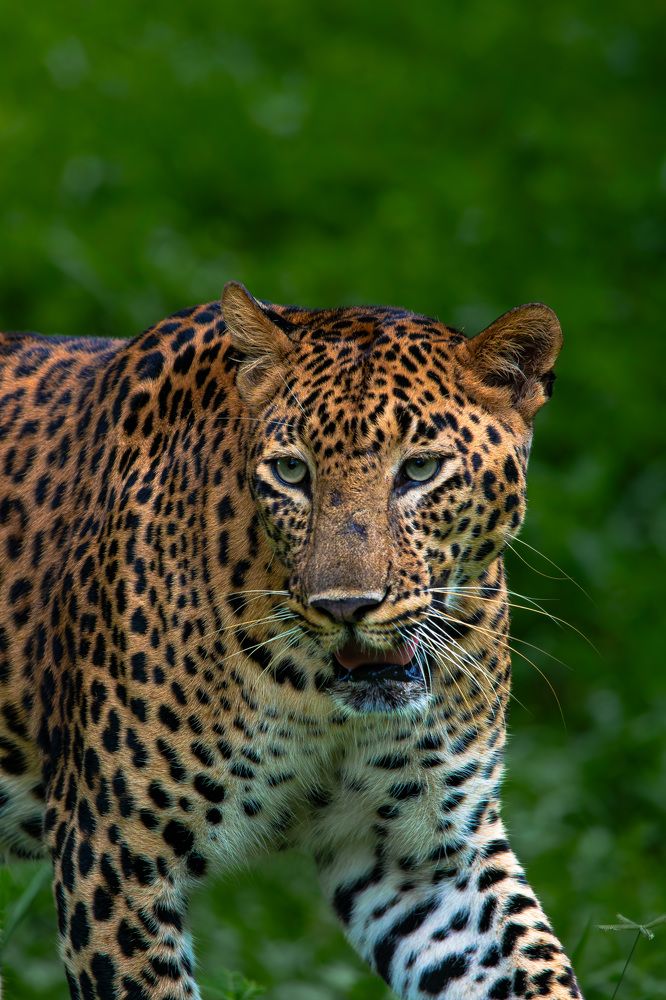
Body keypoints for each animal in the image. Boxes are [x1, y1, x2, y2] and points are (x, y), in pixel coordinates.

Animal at [0, 281, 582, 999]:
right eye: (291, 473)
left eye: (419, 469)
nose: (346, 605)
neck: (314, 694)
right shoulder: (112, 854)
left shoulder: (424, 855)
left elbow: (536, 964)